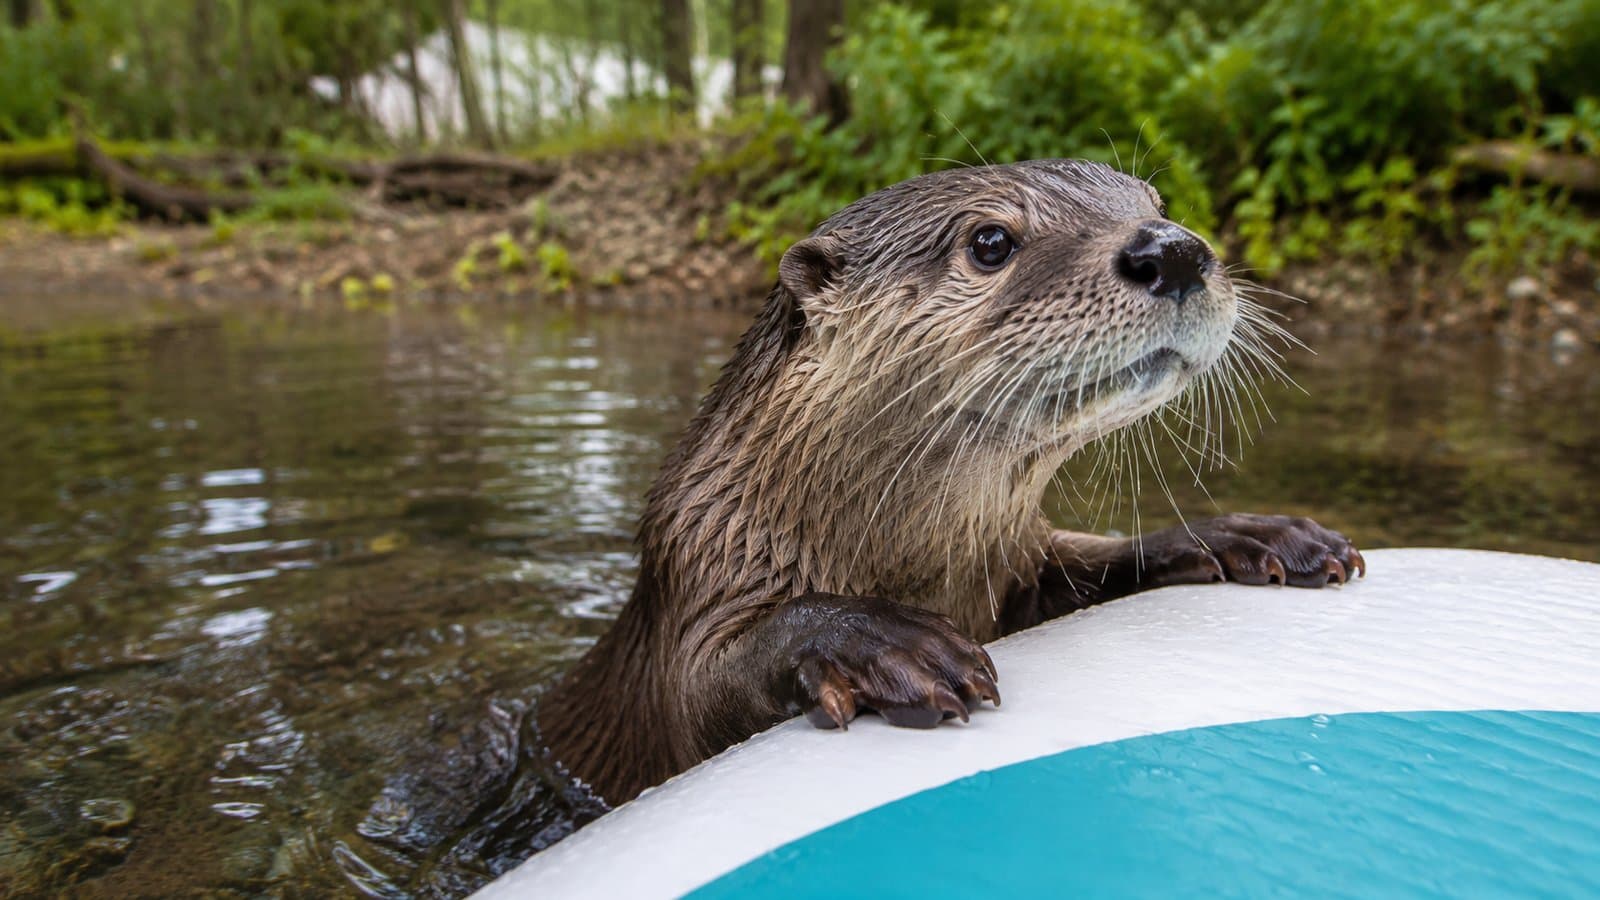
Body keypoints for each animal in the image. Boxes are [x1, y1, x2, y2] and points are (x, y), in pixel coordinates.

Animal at [538, 159, 1364, 805]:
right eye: (990, 241)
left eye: (1154, 203)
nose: (1176, 248)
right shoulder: (700, 572)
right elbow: (704, 686)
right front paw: (883, 642)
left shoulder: (1016, 558)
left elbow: (1097, 559)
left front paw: (1250, 534)